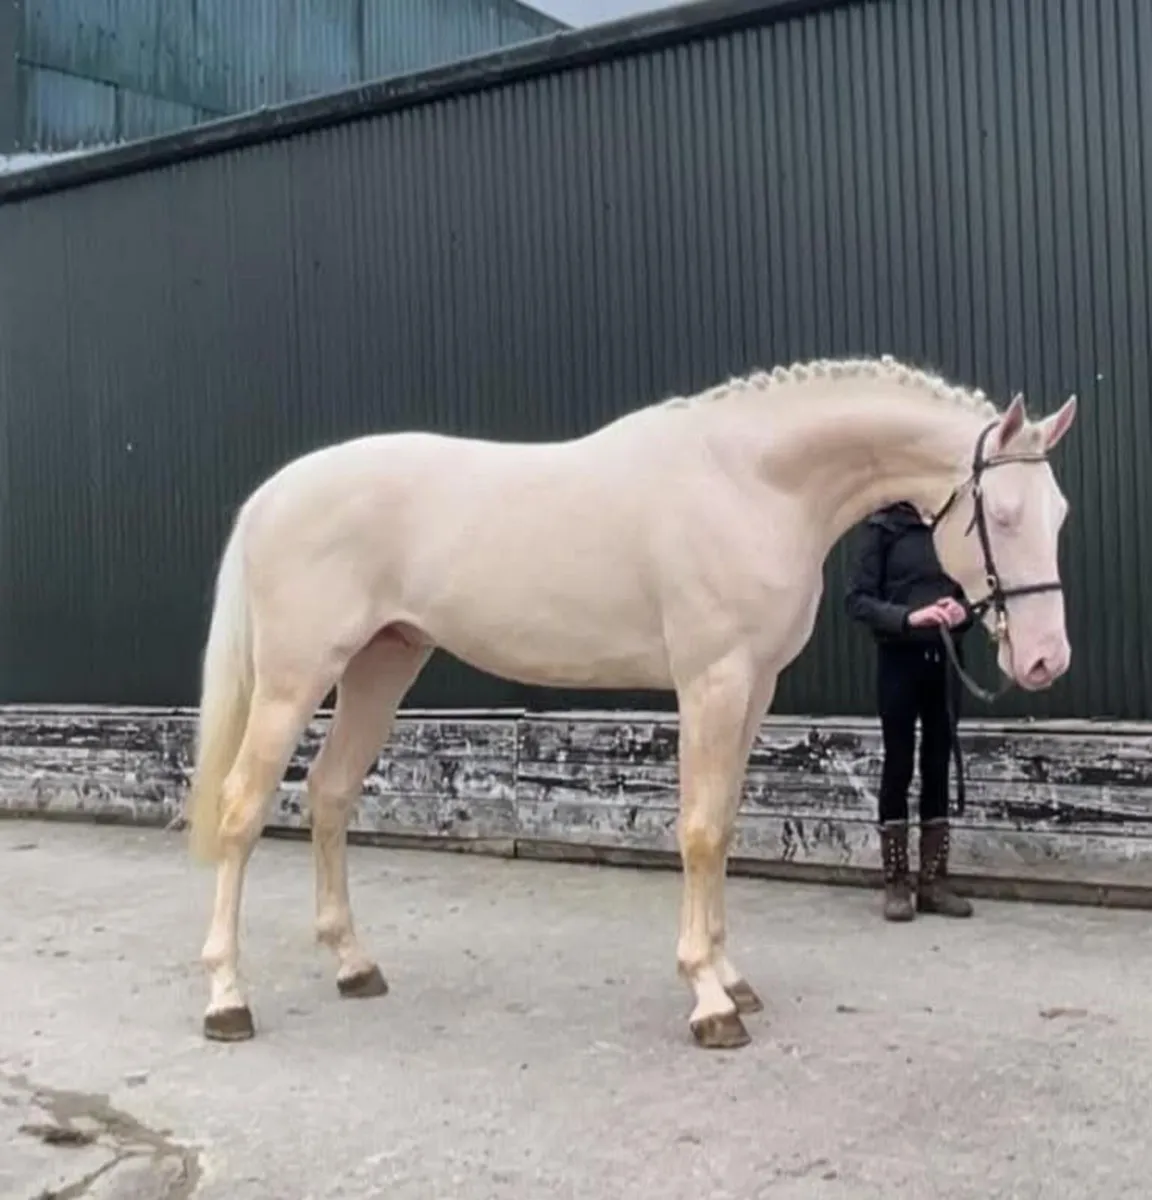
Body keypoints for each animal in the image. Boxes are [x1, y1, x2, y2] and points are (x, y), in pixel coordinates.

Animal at [184, 354, 1078, 1050]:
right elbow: (700, 830)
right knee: (241, 809)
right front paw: (710, 1001)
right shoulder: (713, 682)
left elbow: (723, 830)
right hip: (295, 680)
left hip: (382, 665)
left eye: (1059, 513)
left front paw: (730, 977)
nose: (1045, 659)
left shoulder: (753, 688)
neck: (749, 483)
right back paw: (227, 998)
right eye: (1002, 515)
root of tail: (273, 495)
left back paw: (353, 965)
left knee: (330, 796)